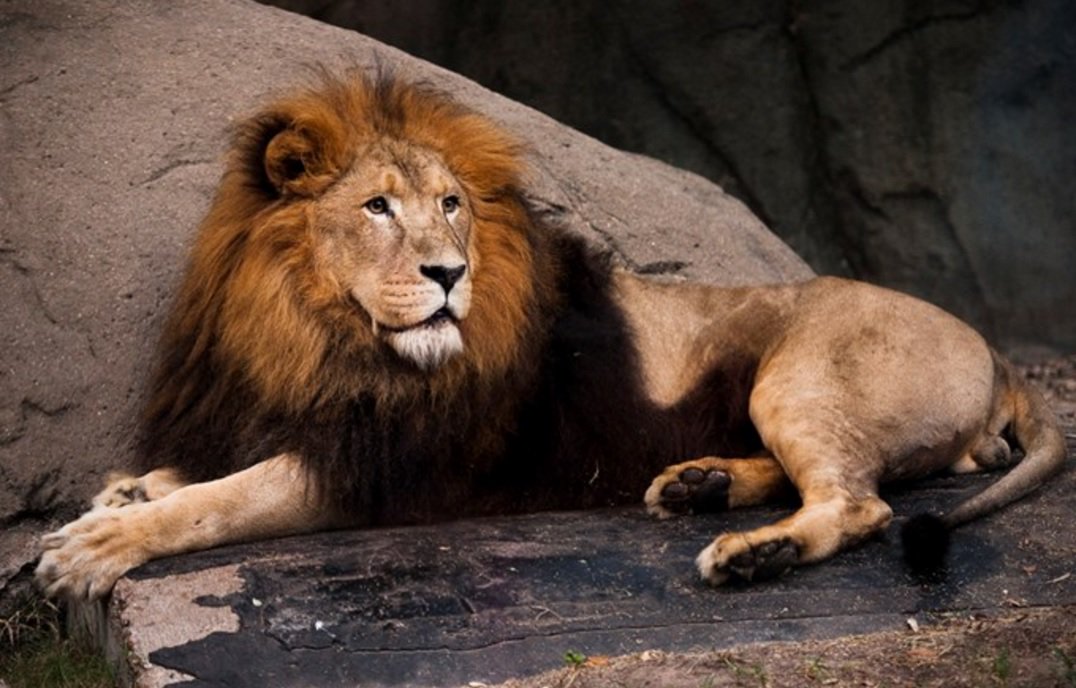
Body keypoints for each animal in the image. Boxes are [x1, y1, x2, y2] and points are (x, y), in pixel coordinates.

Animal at [36, 72, 1067, 600]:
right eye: (378, 207)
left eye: (451, 205)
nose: (449, 272)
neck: (317, 331)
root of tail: (1000, 355)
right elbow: (195, 476)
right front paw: (126, 490)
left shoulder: (379, 466)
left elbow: (220, 501)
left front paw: (95, 545)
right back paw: (700, 485)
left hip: (799, 374)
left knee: (862, 504)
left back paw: (750, 552)